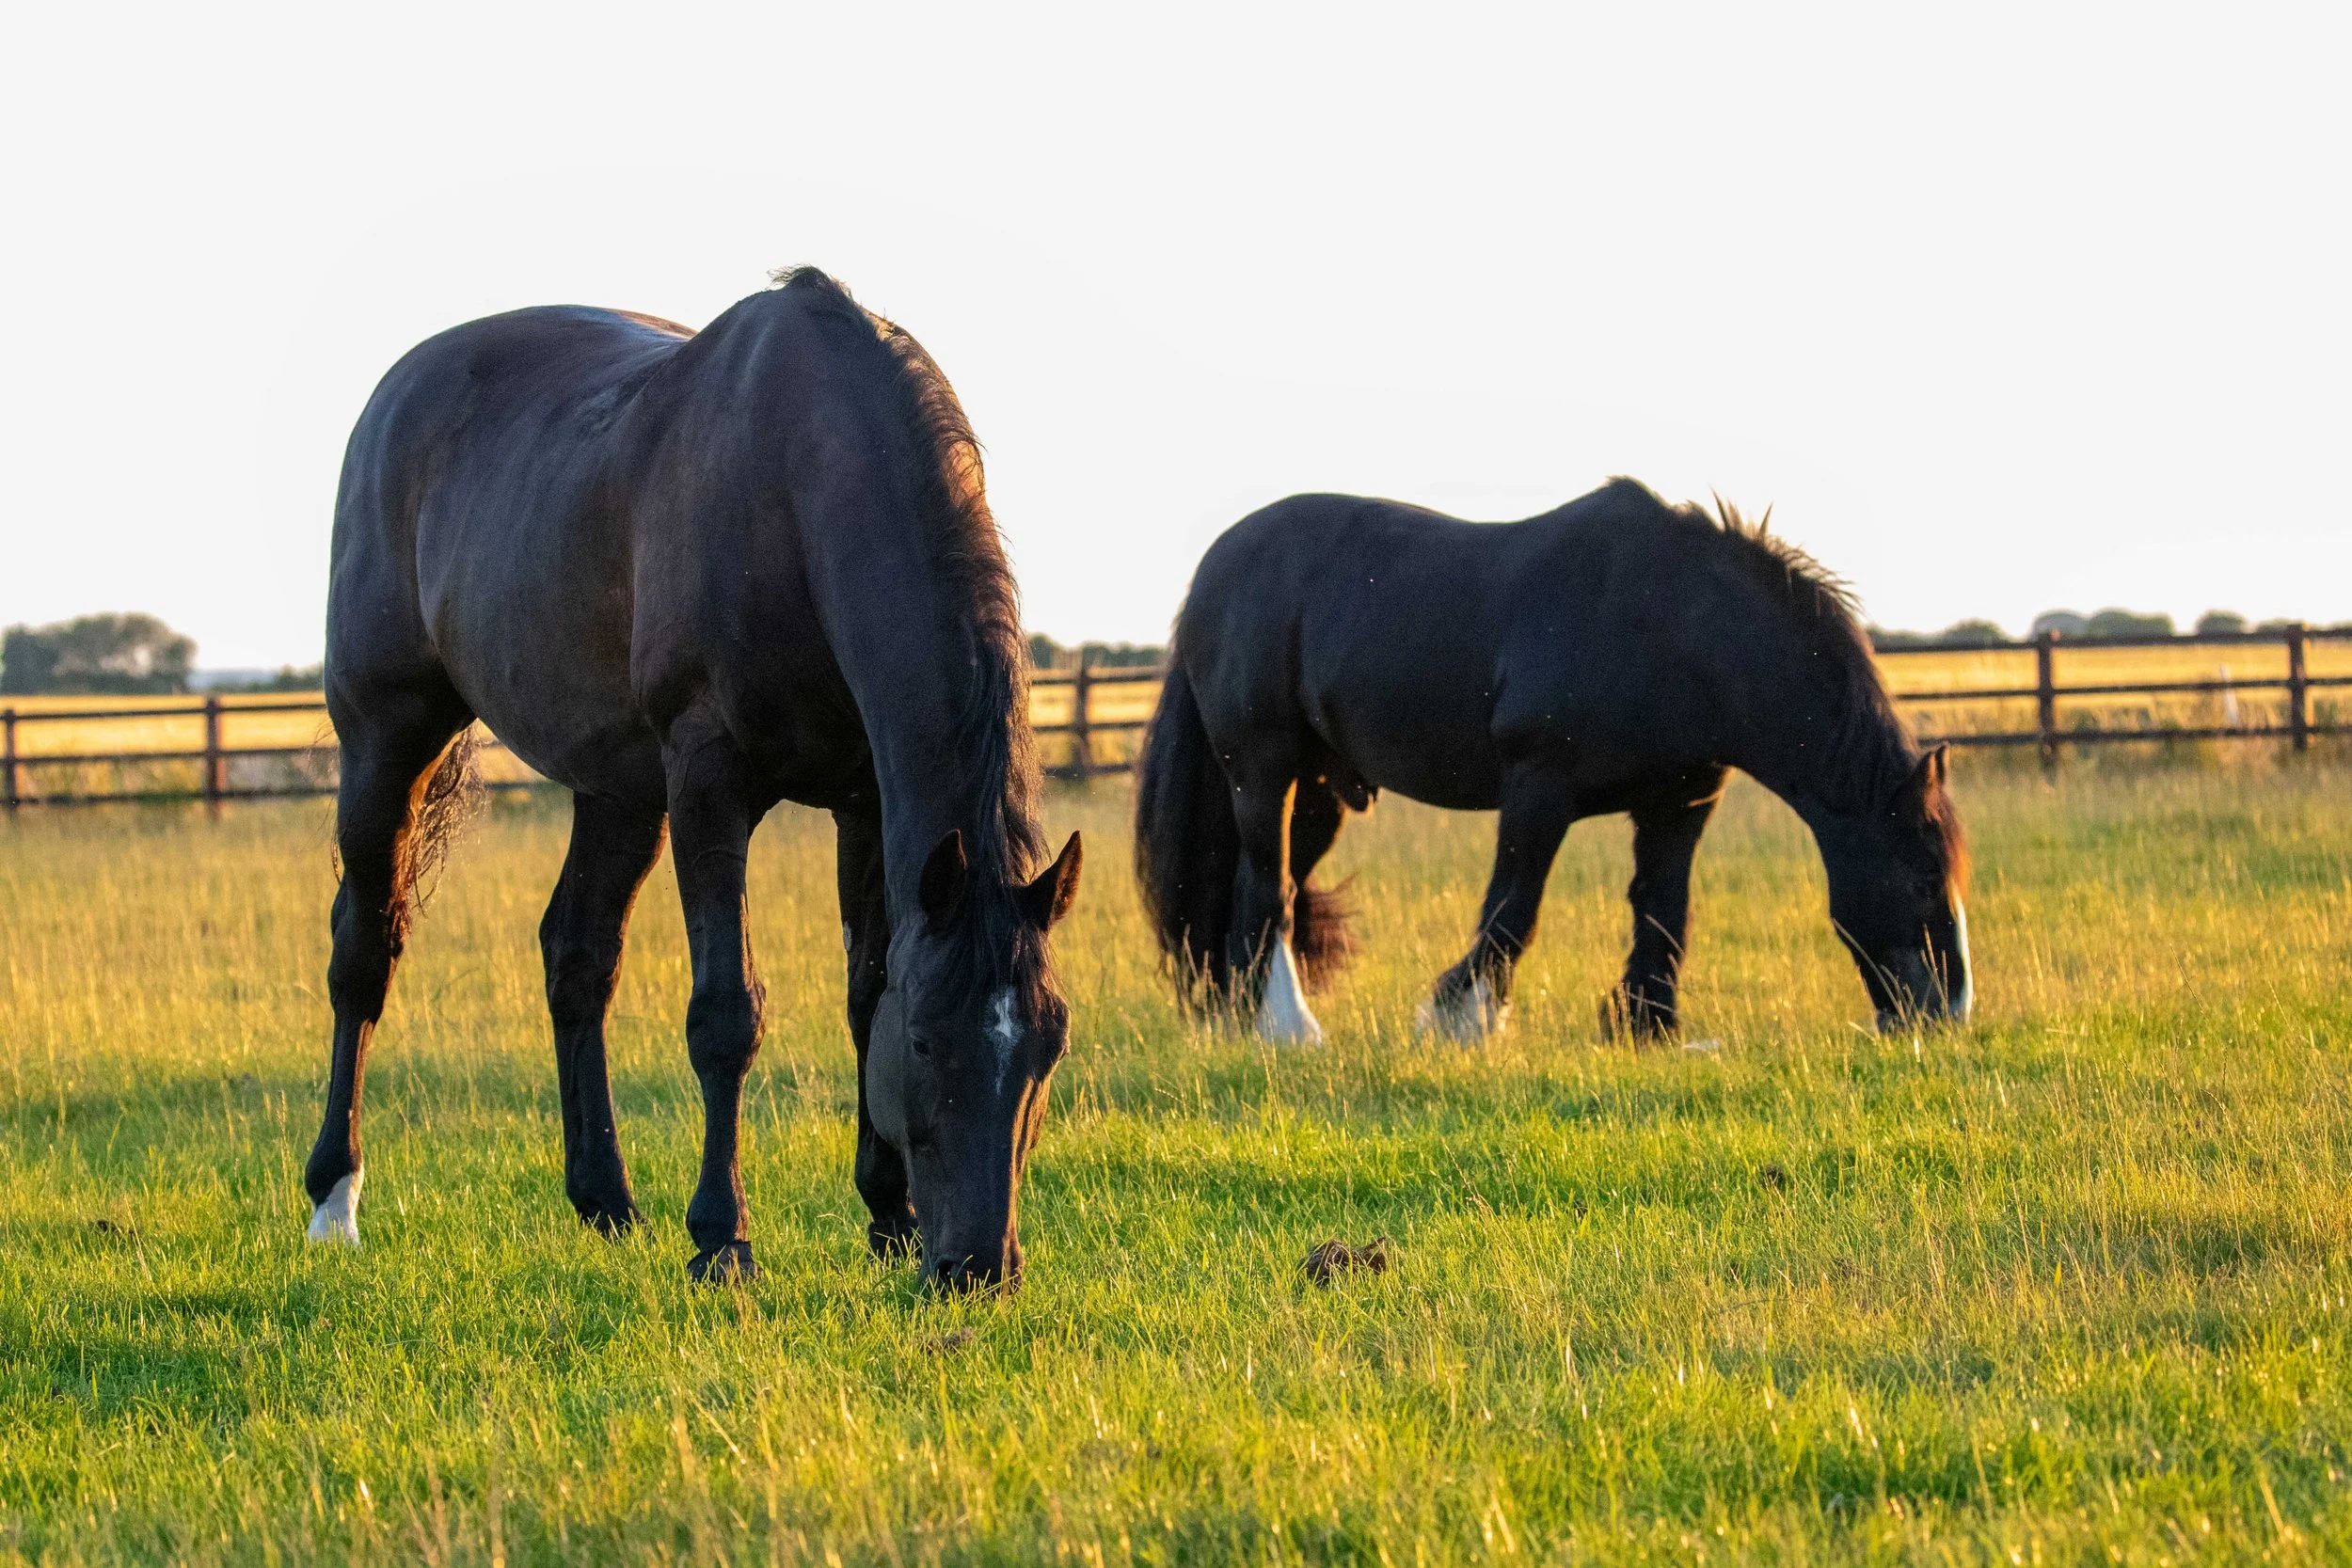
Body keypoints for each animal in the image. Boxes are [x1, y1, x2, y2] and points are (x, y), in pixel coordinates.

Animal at [305, 268, 1083, 1291]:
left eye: (1049, 1042)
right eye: (927, 1040)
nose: (979, 1266)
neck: (796, 482)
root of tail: (397, 393)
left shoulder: (867, 805)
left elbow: (863, 990)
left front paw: (889, 1216)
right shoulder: (709, 778)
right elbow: (727, 1013)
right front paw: (723, 1238)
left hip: (617, 789)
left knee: (577, 956)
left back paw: (606, 1197)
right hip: (386, 737)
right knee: (363, 950)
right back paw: (334, 1197)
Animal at [1135, 478, 1969, 1043]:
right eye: (1923, 876)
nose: (1949, 1011)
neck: (1672, 625)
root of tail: (1216, 569)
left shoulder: (1681, 801)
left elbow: (1663, 910)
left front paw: (1648, 1025)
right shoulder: (1540, 788)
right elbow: (1513, 907)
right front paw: (1458, 1020)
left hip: (1318, 788)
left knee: (1253, 887)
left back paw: (1237, 1015)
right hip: (1262, 770)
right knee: (1268, 887)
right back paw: (1290, 1030)